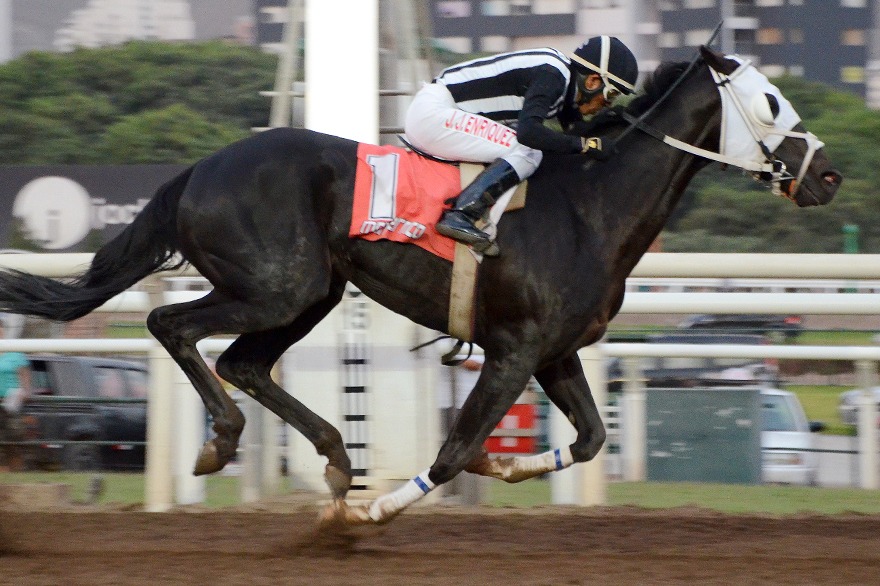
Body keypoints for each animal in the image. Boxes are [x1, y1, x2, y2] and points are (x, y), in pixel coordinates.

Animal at [0, 47, 840, 525]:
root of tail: (199, 169)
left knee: (242, 361)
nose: (828, 175)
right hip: (278, 285)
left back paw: (336, 460)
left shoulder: (554, 351)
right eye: (771, 104)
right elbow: (451, 450)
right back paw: (229, 444)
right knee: (174, 327)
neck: (590, 205)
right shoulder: (513, 349)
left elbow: (590, 439)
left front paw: (506, 467)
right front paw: (381, 510)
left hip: (314, 291)